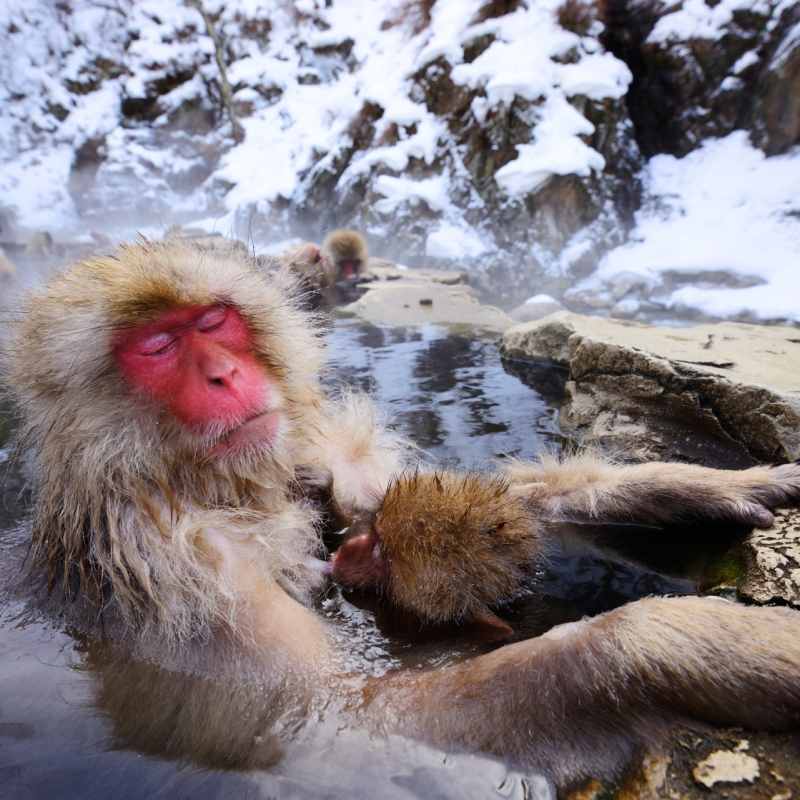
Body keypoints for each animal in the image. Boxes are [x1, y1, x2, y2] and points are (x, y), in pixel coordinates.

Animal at [5, 240, 800, 790]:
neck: (216, 486)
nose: (225, 375)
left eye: (215, 322)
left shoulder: (316, 458)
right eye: (159, 347)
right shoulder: (186, 572)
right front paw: (694, 640)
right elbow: (341, 717)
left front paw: (684, 486)